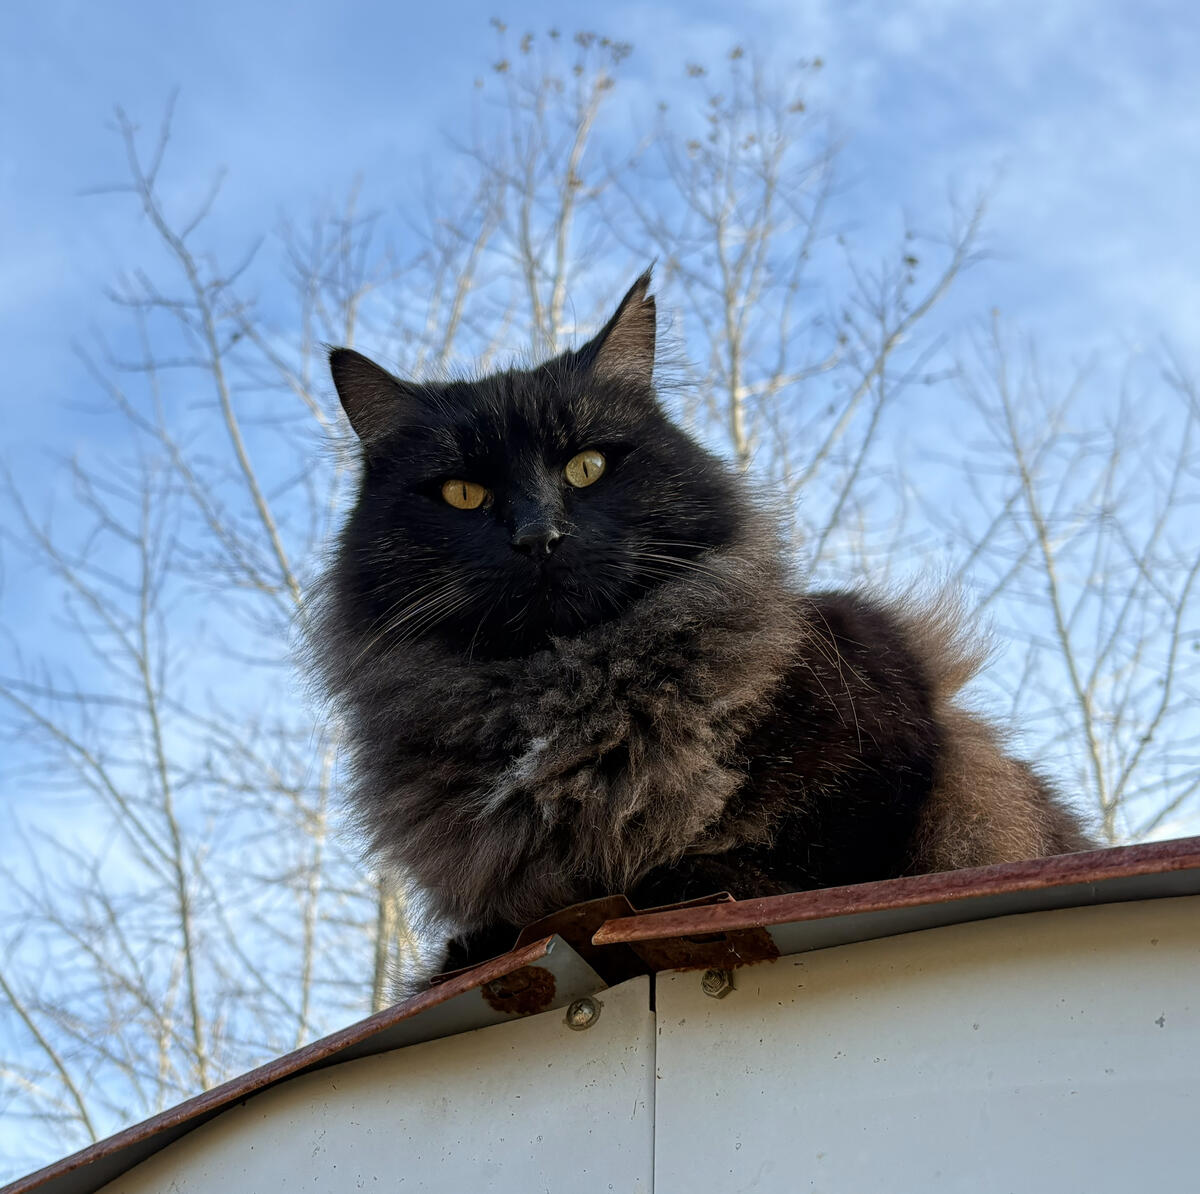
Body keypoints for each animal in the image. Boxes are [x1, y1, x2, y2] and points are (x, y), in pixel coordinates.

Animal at [312, 270, 1093, 990]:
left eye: (587, 466)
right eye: (462, 493)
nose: (539, 535)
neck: (564, 692)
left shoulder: (888, 716)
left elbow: (796, 859)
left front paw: (676, 884)